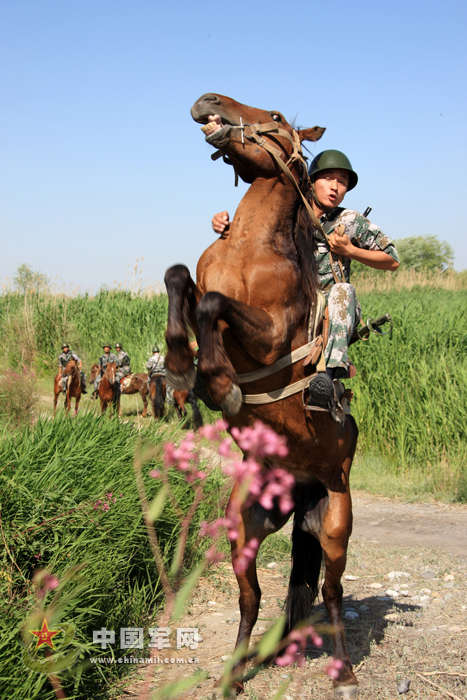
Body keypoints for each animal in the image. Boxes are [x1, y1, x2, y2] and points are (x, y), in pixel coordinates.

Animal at [165, 94, 362, 700]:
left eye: (274, 118)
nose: (208, 101)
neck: (249, 247)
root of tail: (299, 491)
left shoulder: (270, 332)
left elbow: (213, 307)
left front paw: (219, 385)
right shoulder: (201, 282)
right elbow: (180, 280)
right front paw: (181, 366)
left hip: (336, 524)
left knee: (331, 593)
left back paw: (345, 674)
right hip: (245, 530)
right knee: (249, 598)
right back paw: (232, 674)